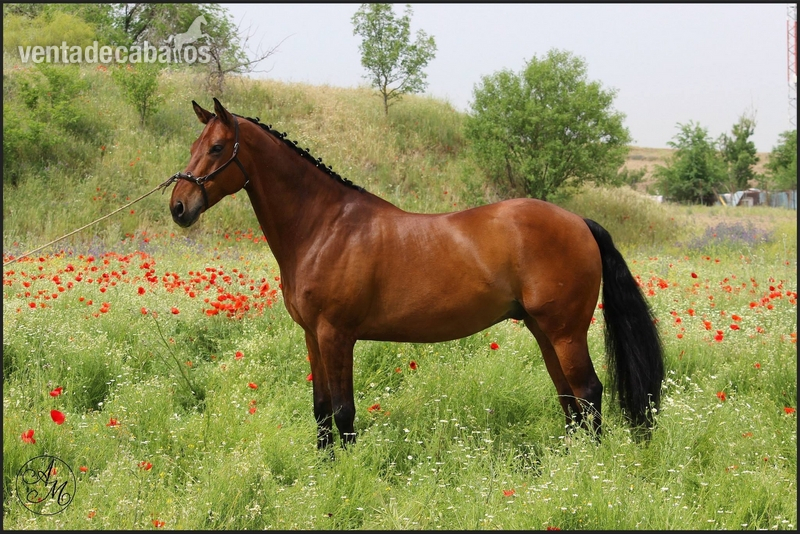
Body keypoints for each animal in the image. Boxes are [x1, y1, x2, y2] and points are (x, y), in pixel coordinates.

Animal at [168, 98, 664, 449]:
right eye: (191, 147)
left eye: (216, 148)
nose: (178, 207)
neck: (325, 226)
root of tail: (579, 222)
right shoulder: (312, 335)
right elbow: (322, 410)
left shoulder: (336, 334)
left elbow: (343, 412)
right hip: (544, 331)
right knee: (569, 399)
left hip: (565, 332)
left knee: (588, 393)